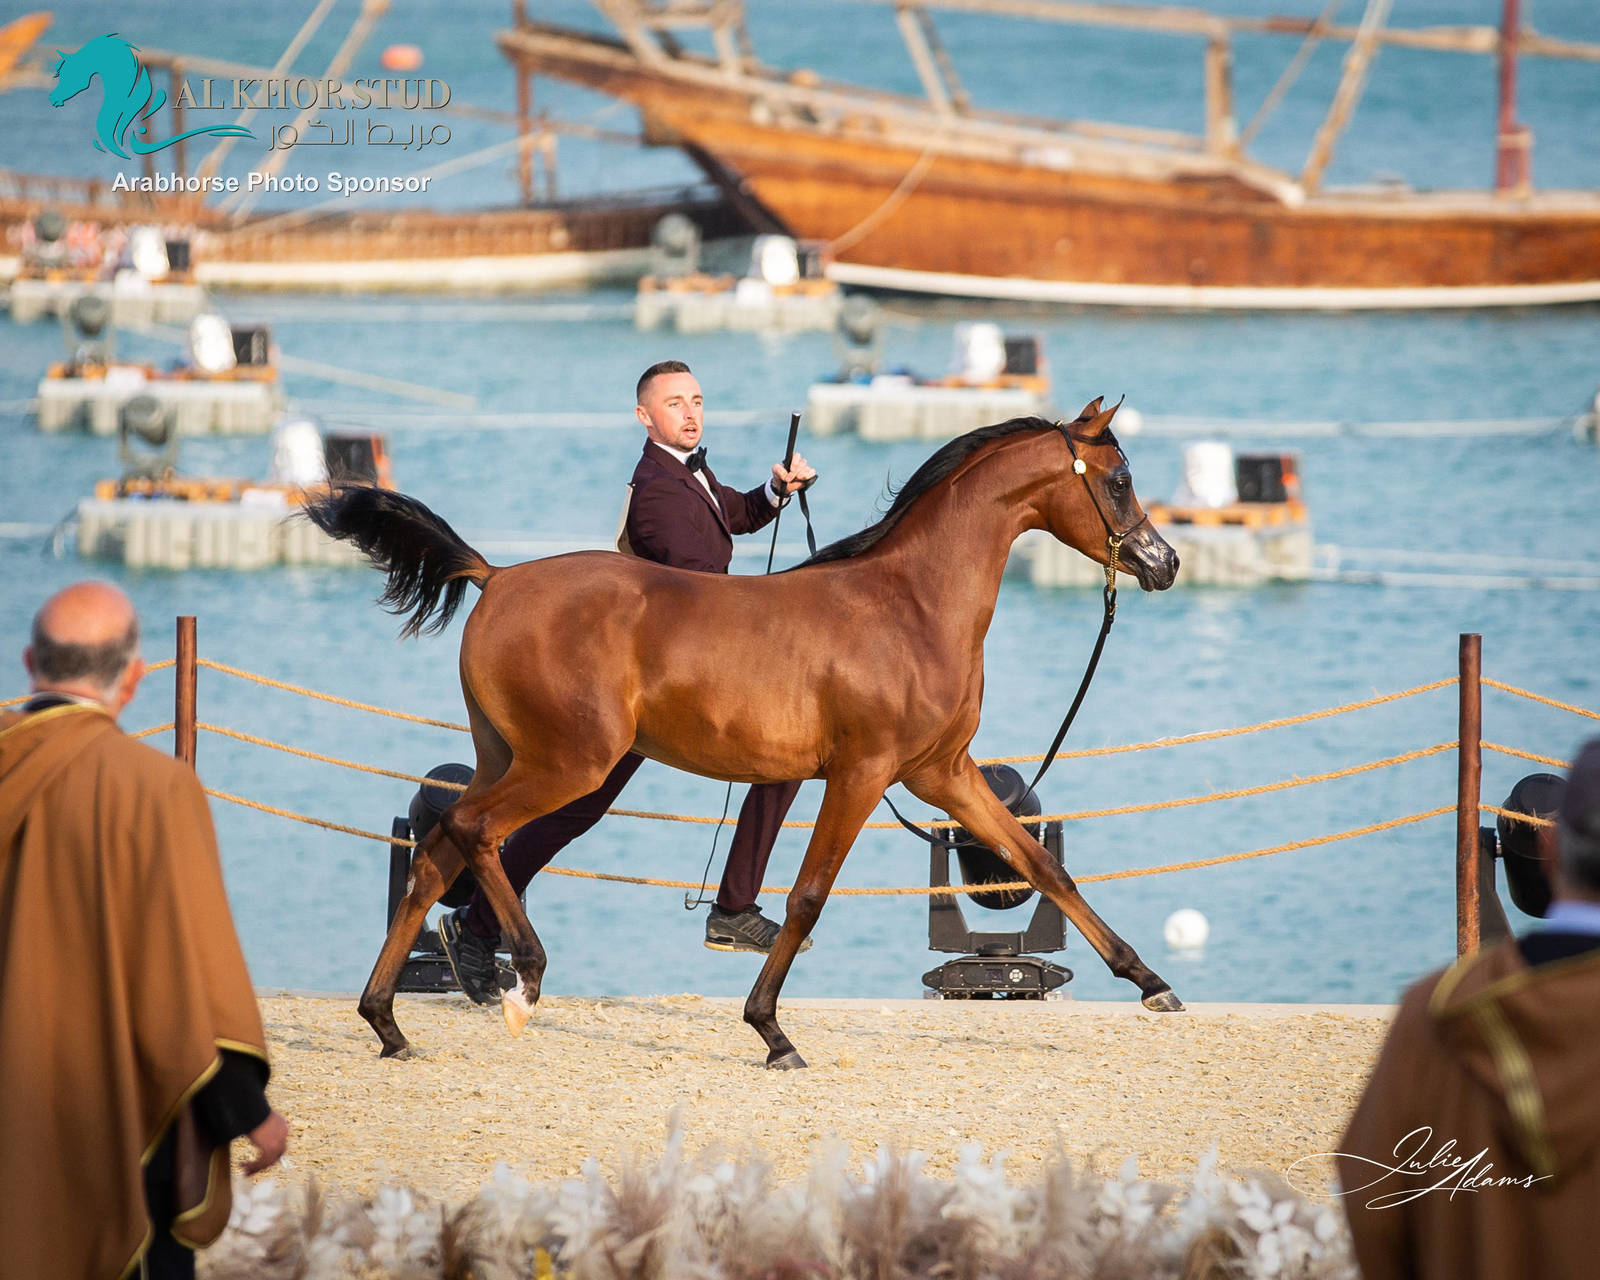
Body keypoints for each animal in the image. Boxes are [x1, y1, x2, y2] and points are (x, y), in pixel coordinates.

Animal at [305, 398, 1184, 1067]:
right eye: (1119, 479)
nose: (1164, 562)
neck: (910, 605)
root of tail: (497, 578)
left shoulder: (944, 773)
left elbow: (1042, 866)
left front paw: (1150, 982)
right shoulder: (864, 775)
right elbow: (807, 897)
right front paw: (771, 1032)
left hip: (508, 755)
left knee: (434, 855)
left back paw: (389, 1021)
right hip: (570, 764)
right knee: (475, 831)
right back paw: (519, 976)